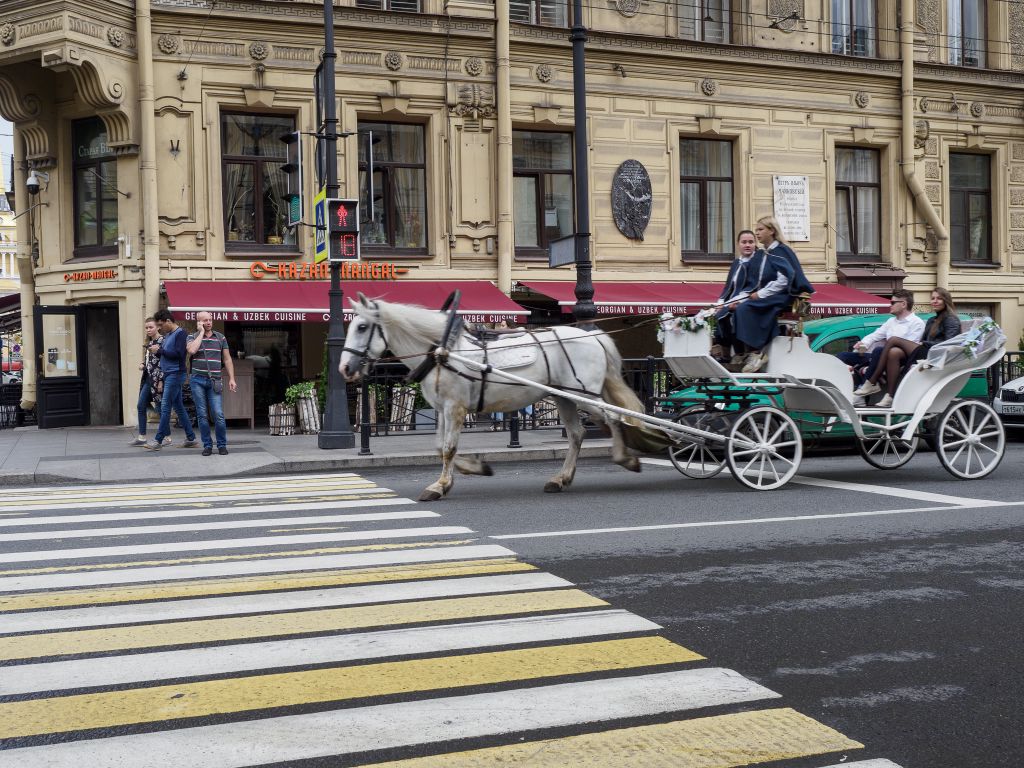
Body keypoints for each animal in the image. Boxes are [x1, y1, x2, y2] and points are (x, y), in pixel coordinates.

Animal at [339, 294, 667, 505]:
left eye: (363, 327)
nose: (345, 368)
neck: (443, 351)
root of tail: (593, 335)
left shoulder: (455, 408)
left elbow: (447, 448)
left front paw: (441, 485)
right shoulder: (443, 410)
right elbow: (440, 446)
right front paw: (473, 468)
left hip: (584, 395)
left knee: (613, 418)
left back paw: (624, 457)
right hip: (564, 398)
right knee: (577, 434)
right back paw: (561, 478)